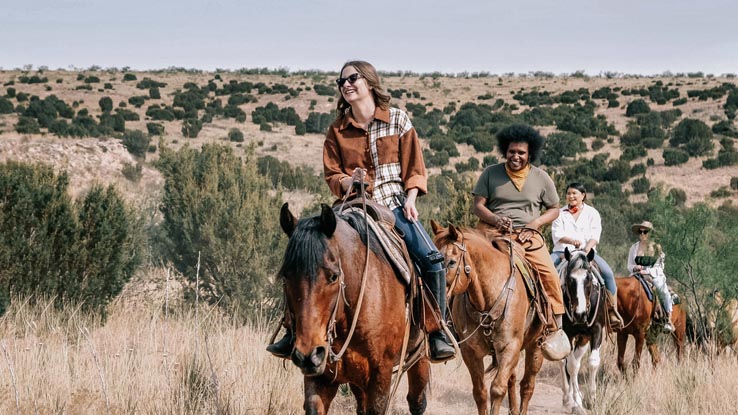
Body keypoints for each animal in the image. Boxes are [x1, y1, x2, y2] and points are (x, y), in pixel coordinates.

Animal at [278, 205, 428, 415]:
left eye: (333, 276)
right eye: (286, 276)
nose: (308, 355)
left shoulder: (381, 375)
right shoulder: (320, 377)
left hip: (419, 355)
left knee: (417, 401)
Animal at [428, 224, 544, 415]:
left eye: (451, 262)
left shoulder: (510, 347)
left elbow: (497, 389)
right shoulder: (470, 352)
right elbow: (480, 392)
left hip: (536, 345)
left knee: (527, 385)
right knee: (512, 380)